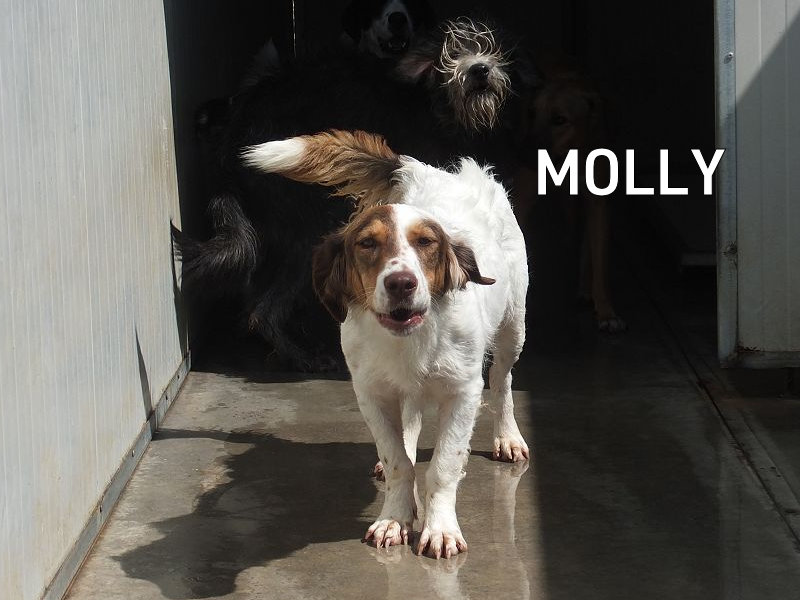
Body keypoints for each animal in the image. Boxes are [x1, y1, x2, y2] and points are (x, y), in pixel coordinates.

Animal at [175, 18, 532, 371]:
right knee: (263, 310)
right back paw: (303, 356)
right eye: (450, 53)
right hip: (309, 222)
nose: (479, 69)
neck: (439, 108)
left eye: (491, 47)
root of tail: (231, 137)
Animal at [241, 129, 529, 557]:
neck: (410, 340)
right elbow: (397, 459)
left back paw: (507, 437)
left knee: (503, 380)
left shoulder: (462, 392)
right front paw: (395, 517)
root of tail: (437, 171)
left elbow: (444, 464)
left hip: (514, 327)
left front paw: (440, 529)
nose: (401, 284)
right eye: (367, 244)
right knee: (409, 419)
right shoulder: (372, 393)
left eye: (426, 243)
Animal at [513, 69, 626, 333]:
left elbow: (599, 261)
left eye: (559, 120)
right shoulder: (522, 198)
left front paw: (605, 310)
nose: (520, 155)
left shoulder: (598, 206)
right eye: (532, 113)